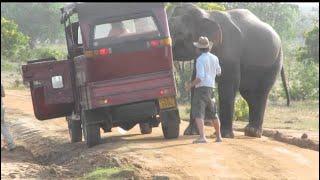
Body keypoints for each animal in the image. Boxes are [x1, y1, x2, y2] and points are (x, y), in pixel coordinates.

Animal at [169, 3, 292, 138]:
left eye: (180, 34)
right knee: (249, 93)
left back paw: (253, 132)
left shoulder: (230, 52)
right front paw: (190, 133)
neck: (207, 14)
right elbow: (197, 82)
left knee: (260, 92)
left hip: (274, 63)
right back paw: (249, 131)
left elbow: (228, 84)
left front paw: (225, 135)